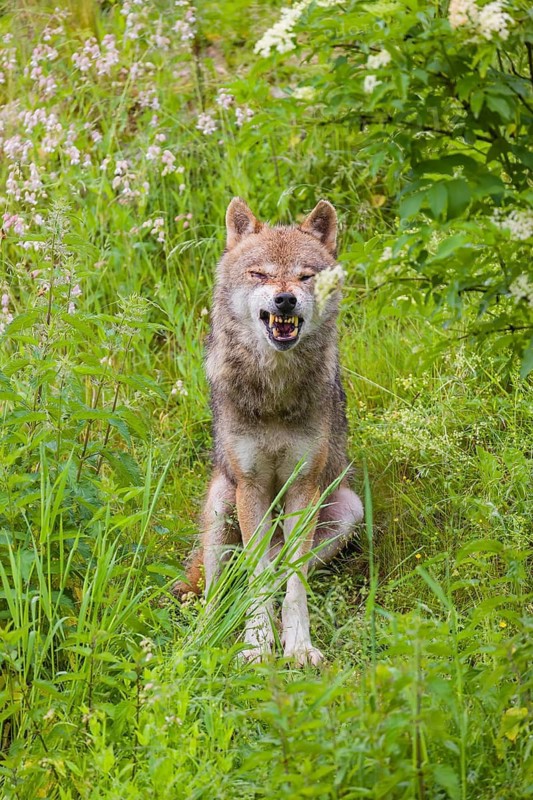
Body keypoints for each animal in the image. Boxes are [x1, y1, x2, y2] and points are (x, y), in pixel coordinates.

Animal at [176, 198, 363, 665]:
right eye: (259, 274)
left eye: (305, 276)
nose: (285, 298)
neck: (276, 391)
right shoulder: (252, 487)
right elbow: (257, 577)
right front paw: (257, 646)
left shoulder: (303, 486)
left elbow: (293, 585)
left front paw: (298, 648)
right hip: (222, 502)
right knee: (220, 588)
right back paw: (204, 639)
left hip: (348, 510)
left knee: (278, 569)